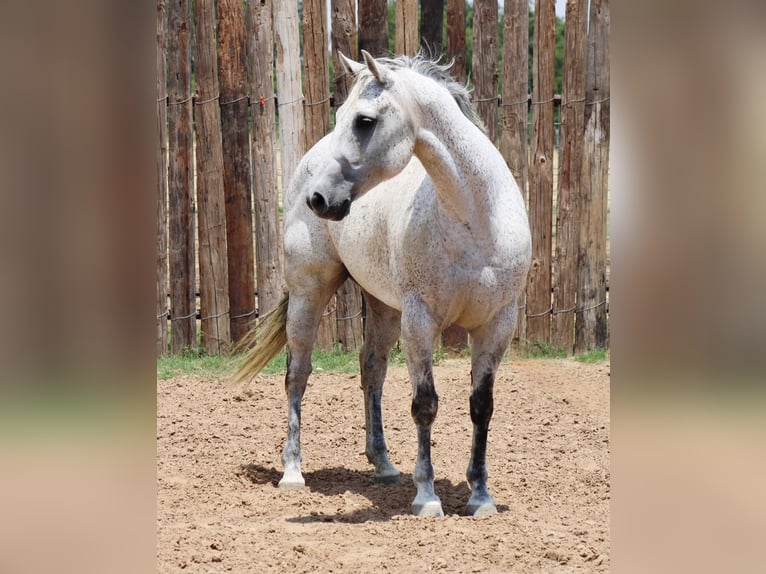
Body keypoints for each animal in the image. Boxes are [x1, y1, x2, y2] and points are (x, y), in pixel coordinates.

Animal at [237, 51, 532, 520]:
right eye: (343, 115)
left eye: (364, 120)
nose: (319, 199)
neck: (475, 219)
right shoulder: (420, 321)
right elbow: (425, 405)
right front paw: (427, 496)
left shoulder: (496, 325)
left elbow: (481, 407)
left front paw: (480, 496)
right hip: (309, 293)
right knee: (297, 375)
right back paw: (293, 472)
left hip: (383, 307)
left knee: (371, 369)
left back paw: (385, 465)